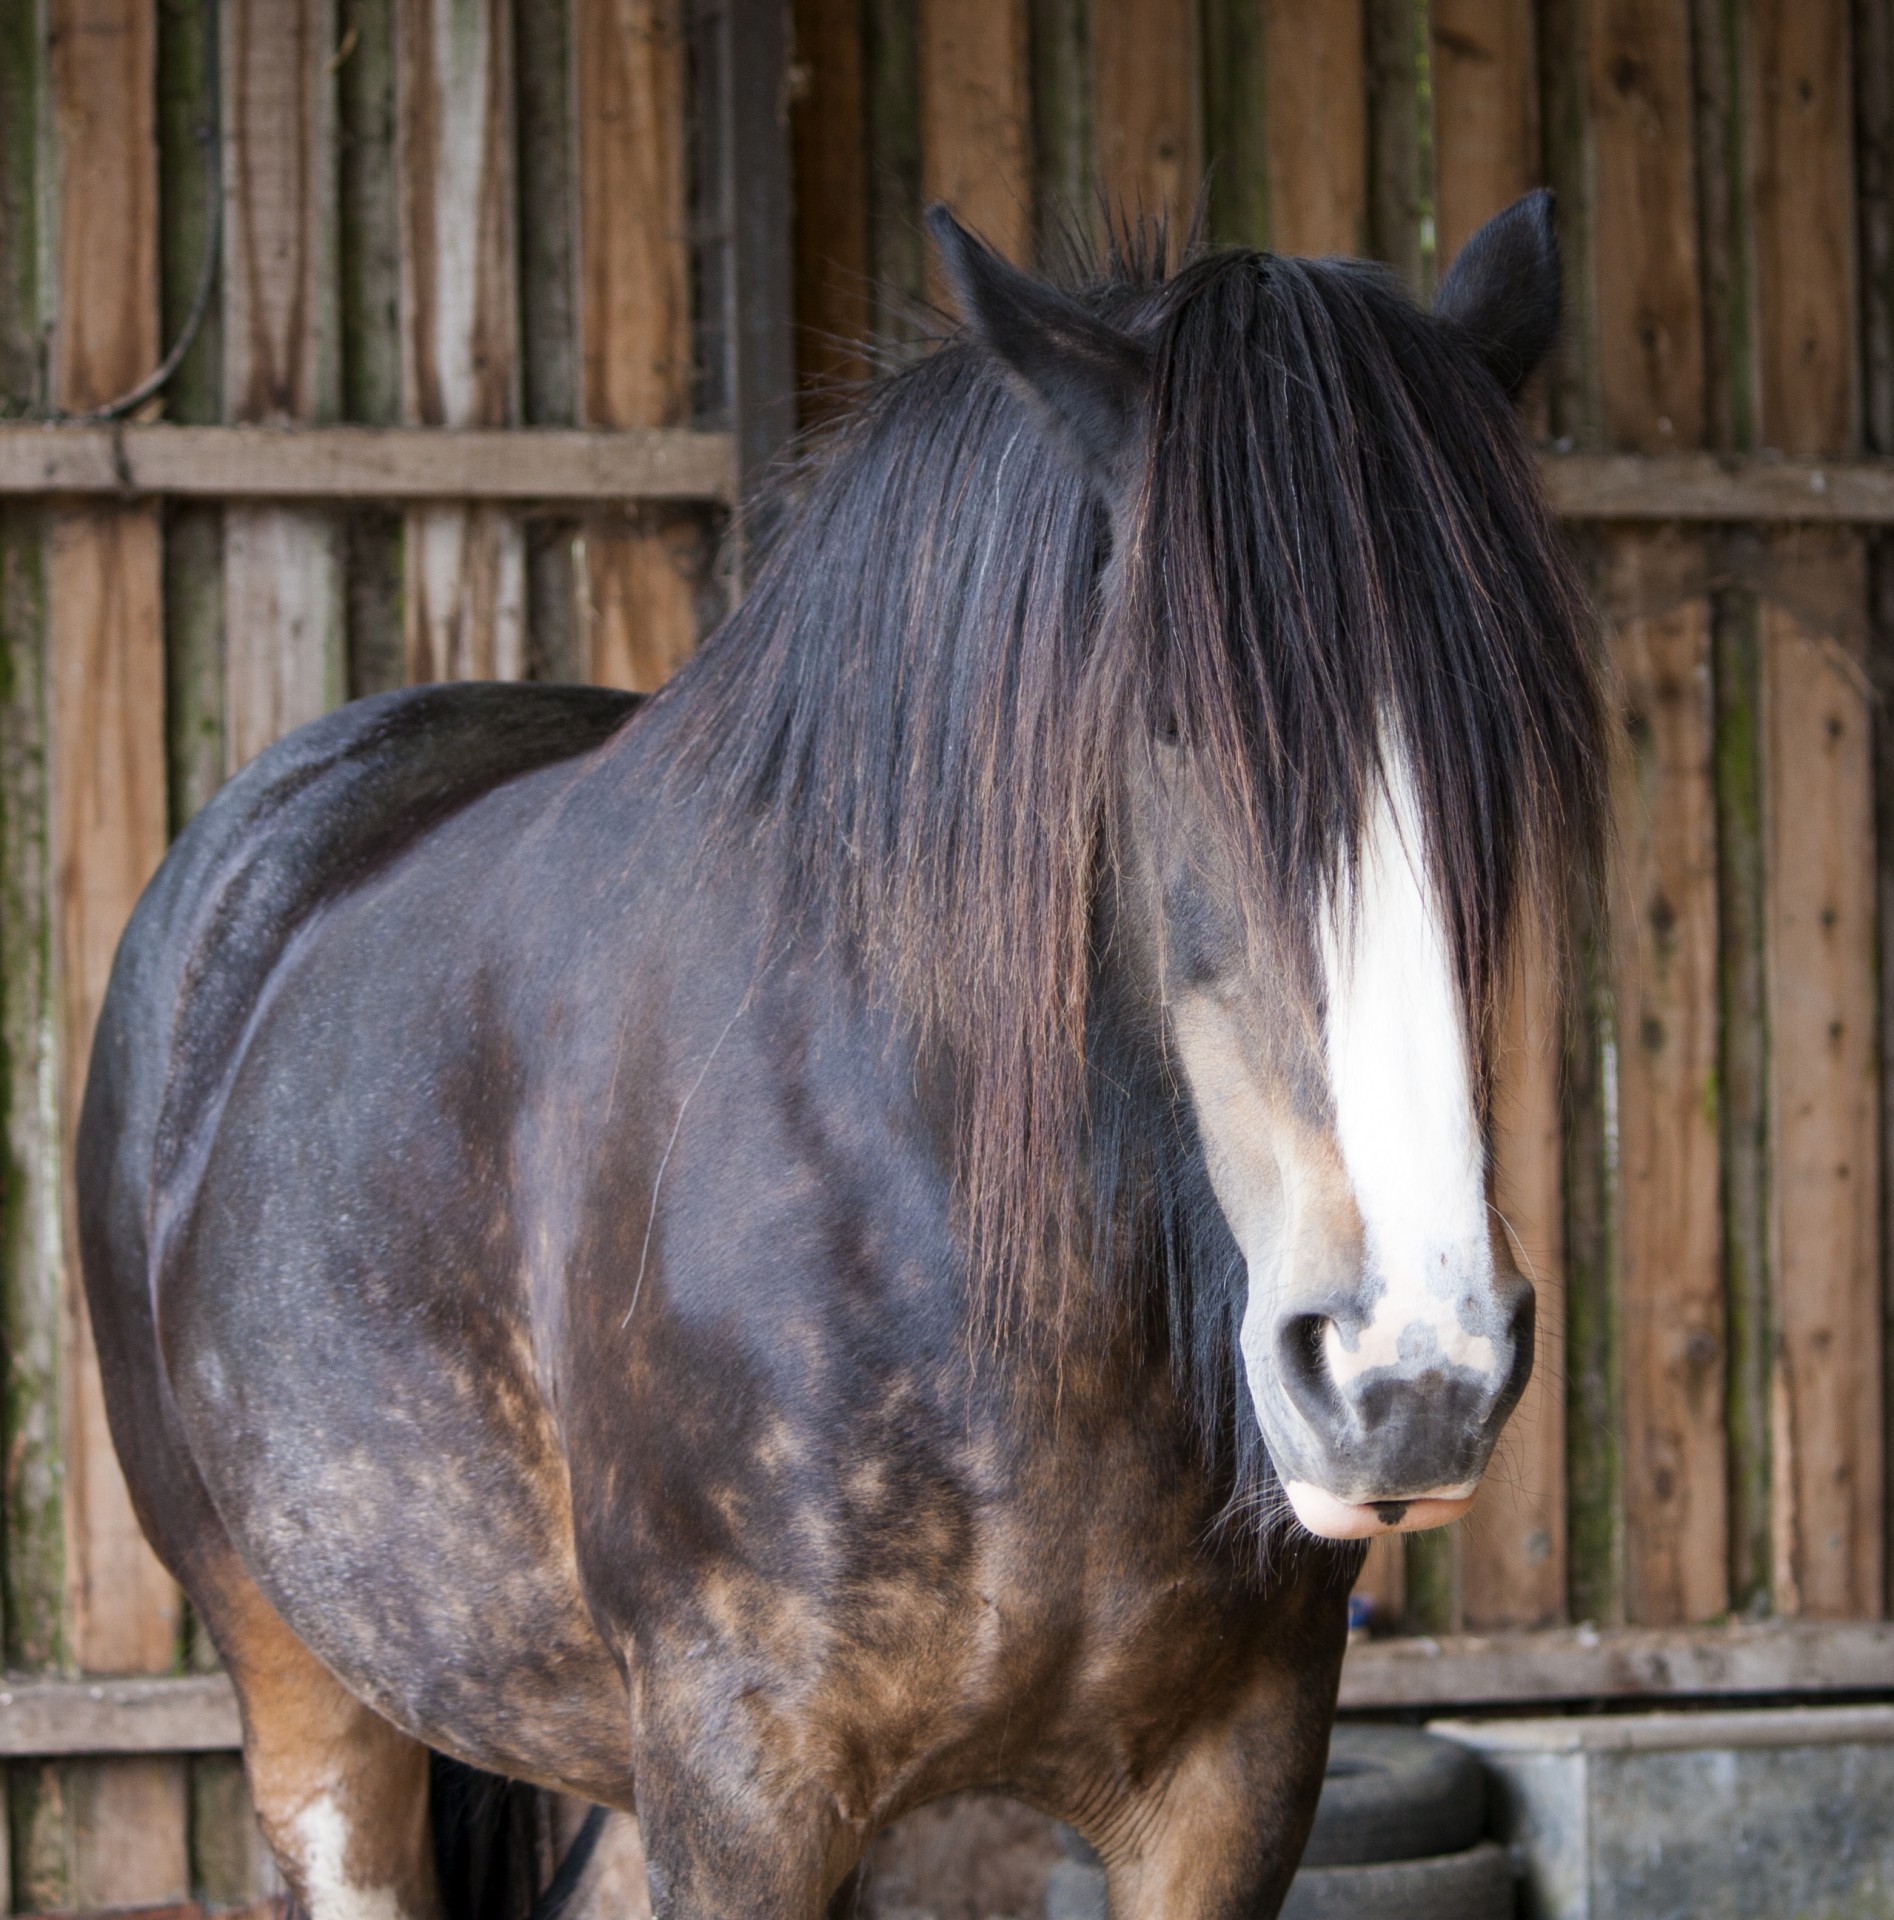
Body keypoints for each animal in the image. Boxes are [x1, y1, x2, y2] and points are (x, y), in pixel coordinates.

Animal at [81, 198, 1605, 1920]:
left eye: (1509, 741)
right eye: (1165, 718)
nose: (1411, 1373)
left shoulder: (1236, 1780)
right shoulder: (746, 1783)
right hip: (313, 1705)